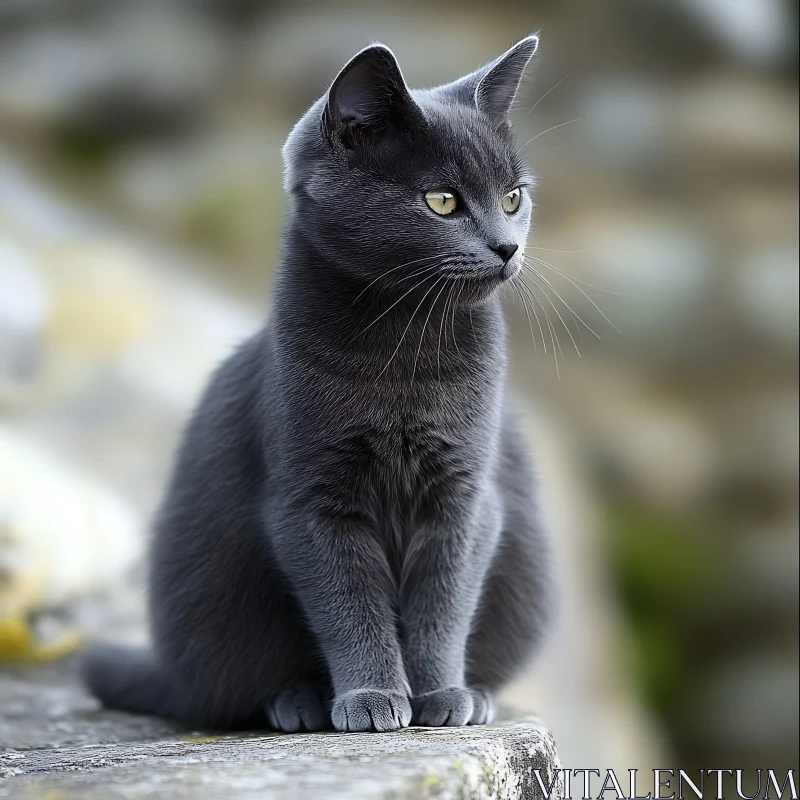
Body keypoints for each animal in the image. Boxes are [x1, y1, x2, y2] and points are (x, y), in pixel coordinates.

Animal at [84, 32, 552, 732]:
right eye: (442, 200)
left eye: (514, 197)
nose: (506, 247)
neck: (403, 346)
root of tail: (173, 674)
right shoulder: (310, 502)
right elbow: (349, 604)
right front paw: (373, 697)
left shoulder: (465, 496)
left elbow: (443, 602)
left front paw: (443, 695)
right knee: (238, 688)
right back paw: (298, 703)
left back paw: (479, 694)